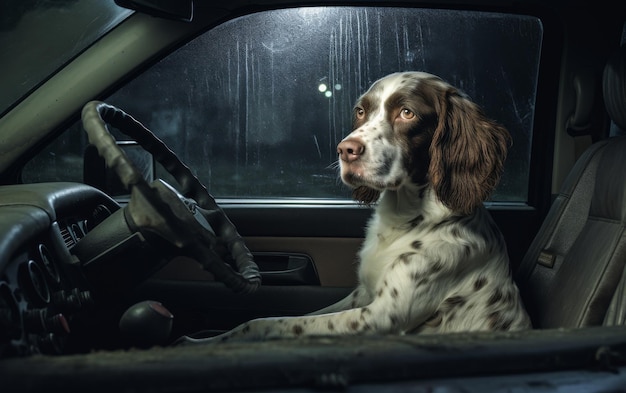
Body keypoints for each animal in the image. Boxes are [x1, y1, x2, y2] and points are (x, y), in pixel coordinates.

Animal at [182, 72, 532, 342]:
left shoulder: (379, 317)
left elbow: (263, 323)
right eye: (361, 111)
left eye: (407, 113)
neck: (408, 218)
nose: (345, 150)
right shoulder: (361, 295)